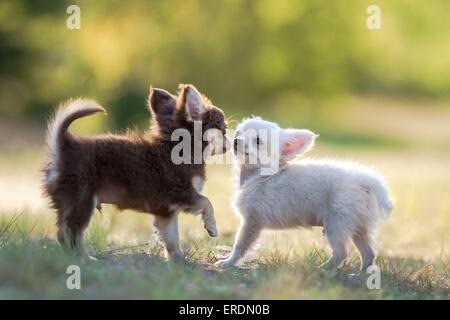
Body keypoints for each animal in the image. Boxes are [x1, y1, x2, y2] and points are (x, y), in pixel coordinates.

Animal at [43, 84, 229, 260]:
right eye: (223, 129)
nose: (231, 141)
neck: (179, 148)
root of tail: (65, 145)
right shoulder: (181, 194)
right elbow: (206, 202)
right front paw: (212, 227)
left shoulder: (166, 211)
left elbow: (171, 237)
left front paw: (177, 259)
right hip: (82, 200)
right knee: (72, 232)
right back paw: (85, 258)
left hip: (68, 202)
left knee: (62, 233)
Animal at [216, 116, 392, 272]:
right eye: (238, 132)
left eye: (258, 141)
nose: (235, 140)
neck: (260, 174)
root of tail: (366, 180)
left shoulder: (252, 221)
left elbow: (240, 245)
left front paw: (229, 262)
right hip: (358, 226)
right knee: (369, 254)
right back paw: (359, 276)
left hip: (336, 223)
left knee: (341, 253)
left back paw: (322, 270)